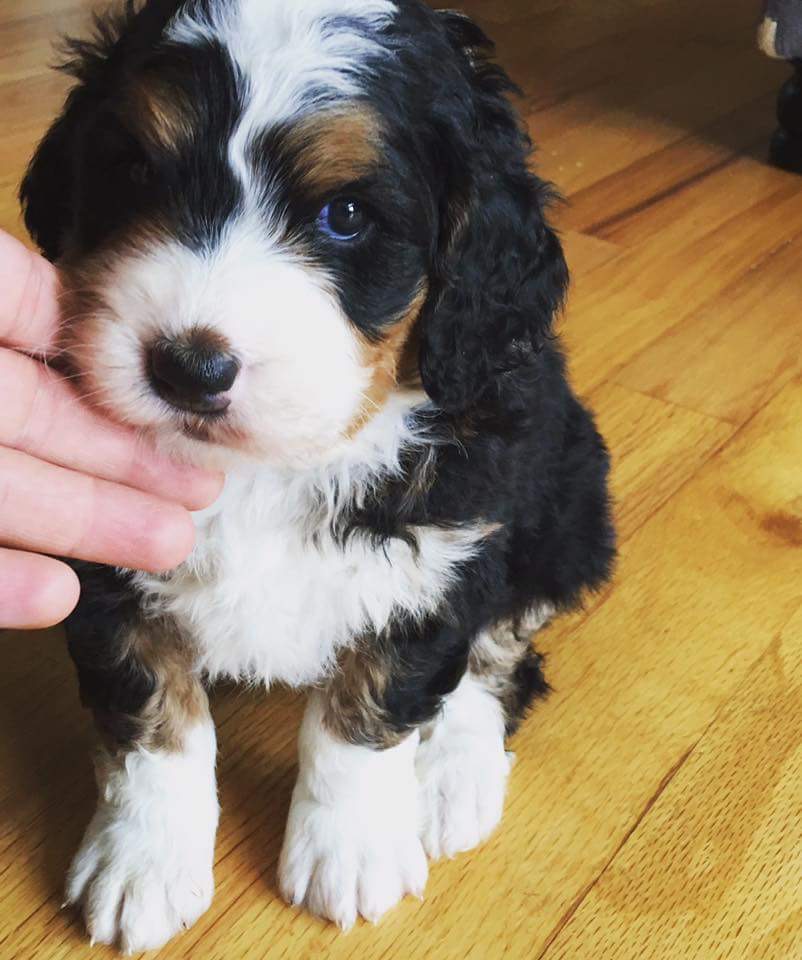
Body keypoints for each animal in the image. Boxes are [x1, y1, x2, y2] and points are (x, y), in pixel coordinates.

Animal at [23, 0, 612, 952]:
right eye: (137, 173)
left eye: (345, 214)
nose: (188, 367)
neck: (264, 470)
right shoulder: (112, 561)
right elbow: (153, 719)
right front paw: (141, 861)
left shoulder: (441, 548)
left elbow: (369, 713)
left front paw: (353, 851)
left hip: (568, 501)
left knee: (503, 651)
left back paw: (453, 779)